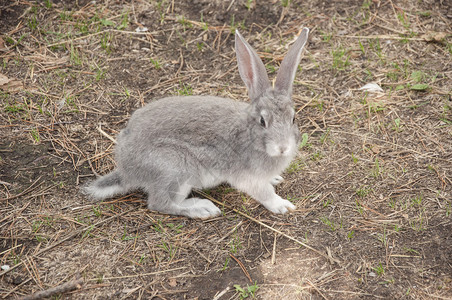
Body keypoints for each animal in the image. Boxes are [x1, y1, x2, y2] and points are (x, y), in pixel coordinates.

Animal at [84, 27, 310, 218]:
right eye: (263, 121)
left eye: (293, 118)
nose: (283, 148)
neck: (249, 135)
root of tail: (126, 169)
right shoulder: (247, 178)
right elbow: (265, 193)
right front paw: (282, 205)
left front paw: (276, 179)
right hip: (175, 170)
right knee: (160, 203)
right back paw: (202, 208)